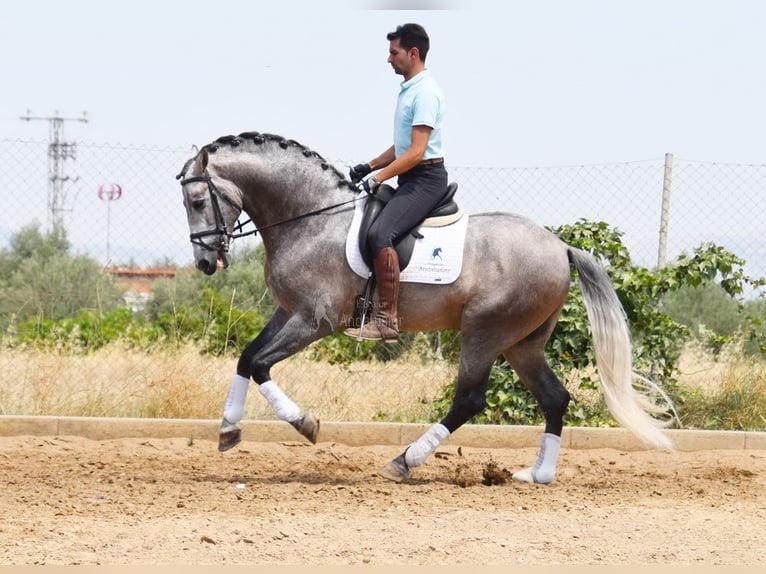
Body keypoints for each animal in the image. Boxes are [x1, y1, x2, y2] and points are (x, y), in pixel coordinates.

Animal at [180, 132, 672, 486]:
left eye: (198, 201)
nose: (205, 262)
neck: (313, 219)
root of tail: (560, 247)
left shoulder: (314, 320)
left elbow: (261, 363)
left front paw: (305, 424)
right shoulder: (288, 313)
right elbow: (247, 356)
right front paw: (228, 430)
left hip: (485, 331)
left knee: (470, 399)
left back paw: (404, 461)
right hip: (523, 343)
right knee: (554, 398)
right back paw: (537, 475)